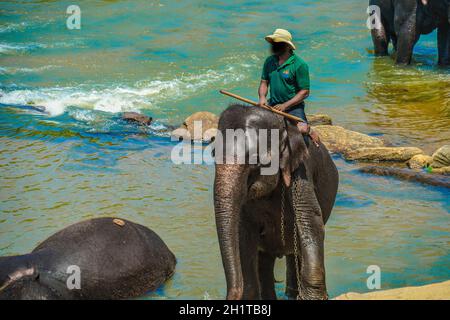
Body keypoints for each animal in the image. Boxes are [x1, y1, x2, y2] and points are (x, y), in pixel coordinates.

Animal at [214, 105, 338, 300]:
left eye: (256, 160)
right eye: (213, 154)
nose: (230, 296)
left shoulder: (301, 172)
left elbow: (310, 221)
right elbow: (243, 233)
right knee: (265, 259)